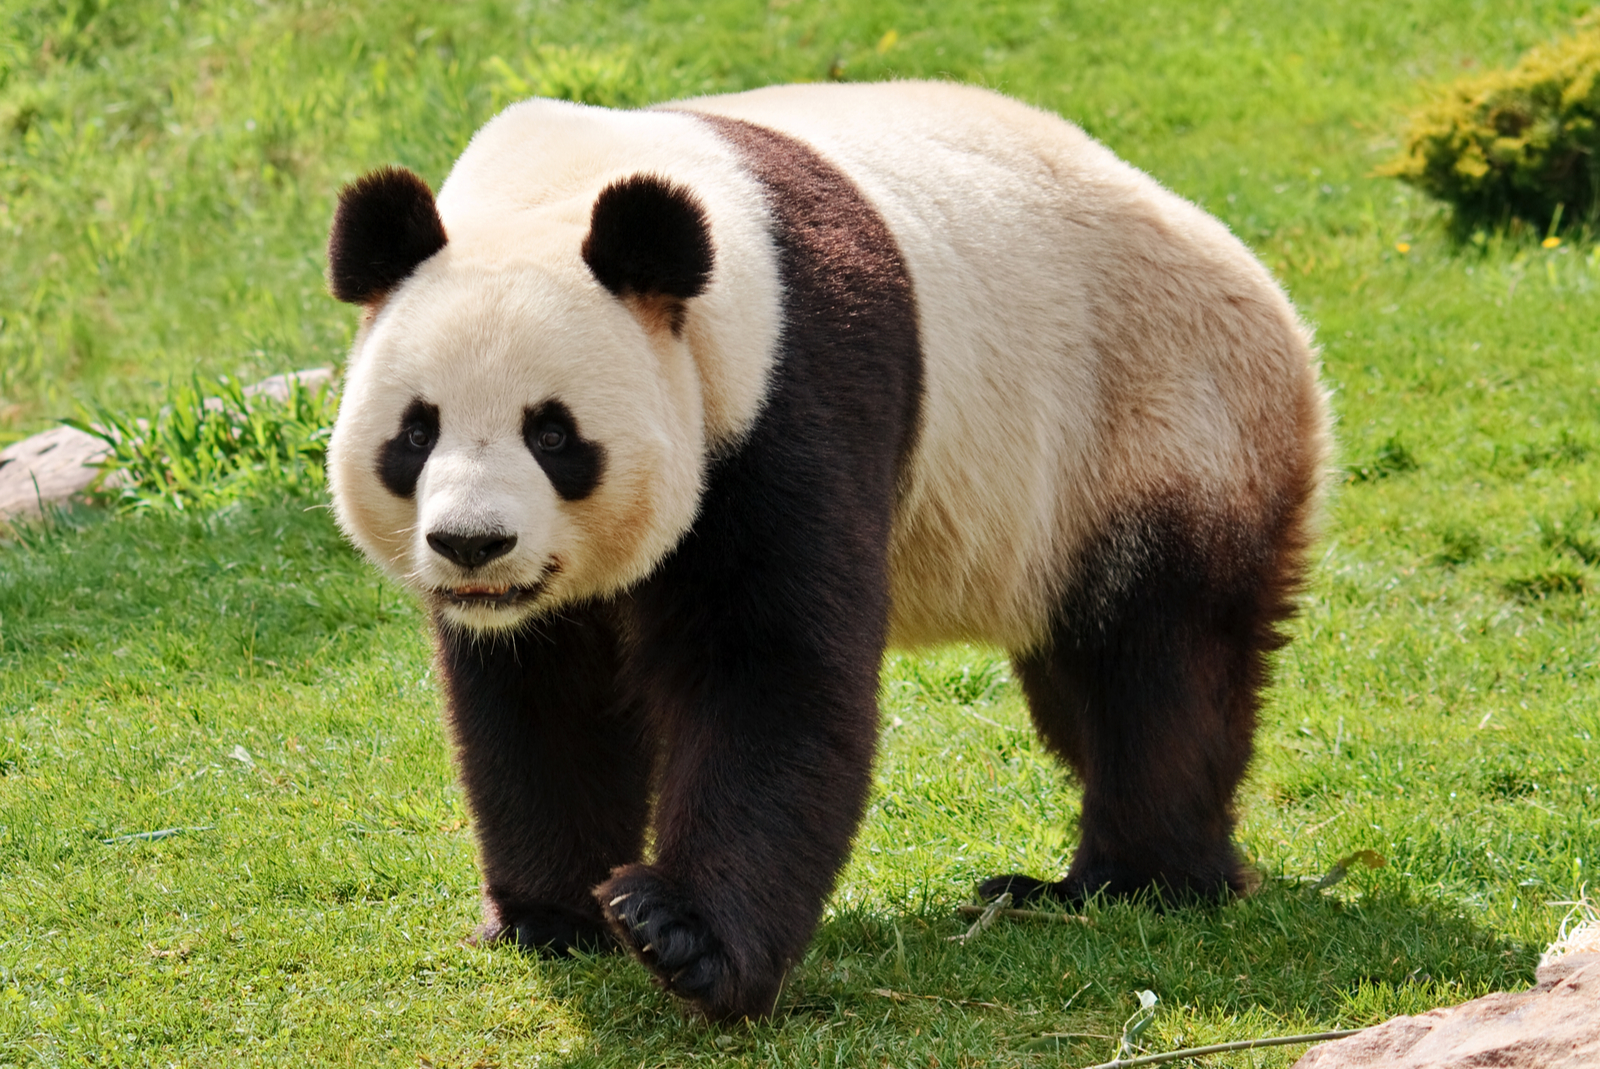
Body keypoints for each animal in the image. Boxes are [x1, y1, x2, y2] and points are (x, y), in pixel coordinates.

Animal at [321, 81, 1324, 1017]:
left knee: (1155, 666)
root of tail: (1276, 305)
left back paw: (1138, 880)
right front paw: (550, 916)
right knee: (1079, 683)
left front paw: (680, 934)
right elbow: (545, 695)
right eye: (416, 432)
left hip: (1153, 420)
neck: (563, 188)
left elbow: (771, 667)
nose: (472, 544)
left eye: (555, 434)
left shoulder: (788, 388)